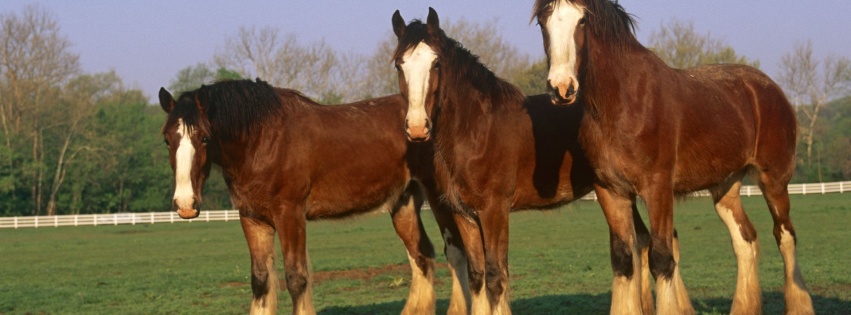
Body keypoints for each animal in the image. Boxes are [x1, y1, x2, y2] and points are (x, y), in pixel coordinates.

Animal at [158, 79, 472, 315]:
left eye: (204, 138)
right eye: (167, 139)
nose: (185, 205)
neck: (263, 140)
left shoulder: (290, 214)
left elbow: (296, 278)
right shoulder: (252, 218)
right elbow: (261, 280)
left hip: (439, 198)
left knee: (455, 253)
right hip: (404, 203)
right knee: (422, 256)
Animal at [390, 8, 656, 314]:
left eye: (436, 63)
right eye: (399, 65)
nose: (417, 128)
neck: (477, 130)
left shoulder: (494, 211)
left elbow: (496, 277)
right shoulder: (464, 215)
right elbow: (477, 277)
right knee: (641, 242)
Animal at [536, 0, 816, 314]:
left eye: (582, 20)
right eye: (542, 22)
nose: (562, 88)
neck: (624, 103)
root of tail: (769, 88)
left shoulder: (658, 188)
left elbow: (661, 259)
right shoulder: (610, 192)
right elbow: (623, 261)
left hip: (774, 180)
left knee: (785, 236)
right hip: (725, 188)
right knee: (745, 240)